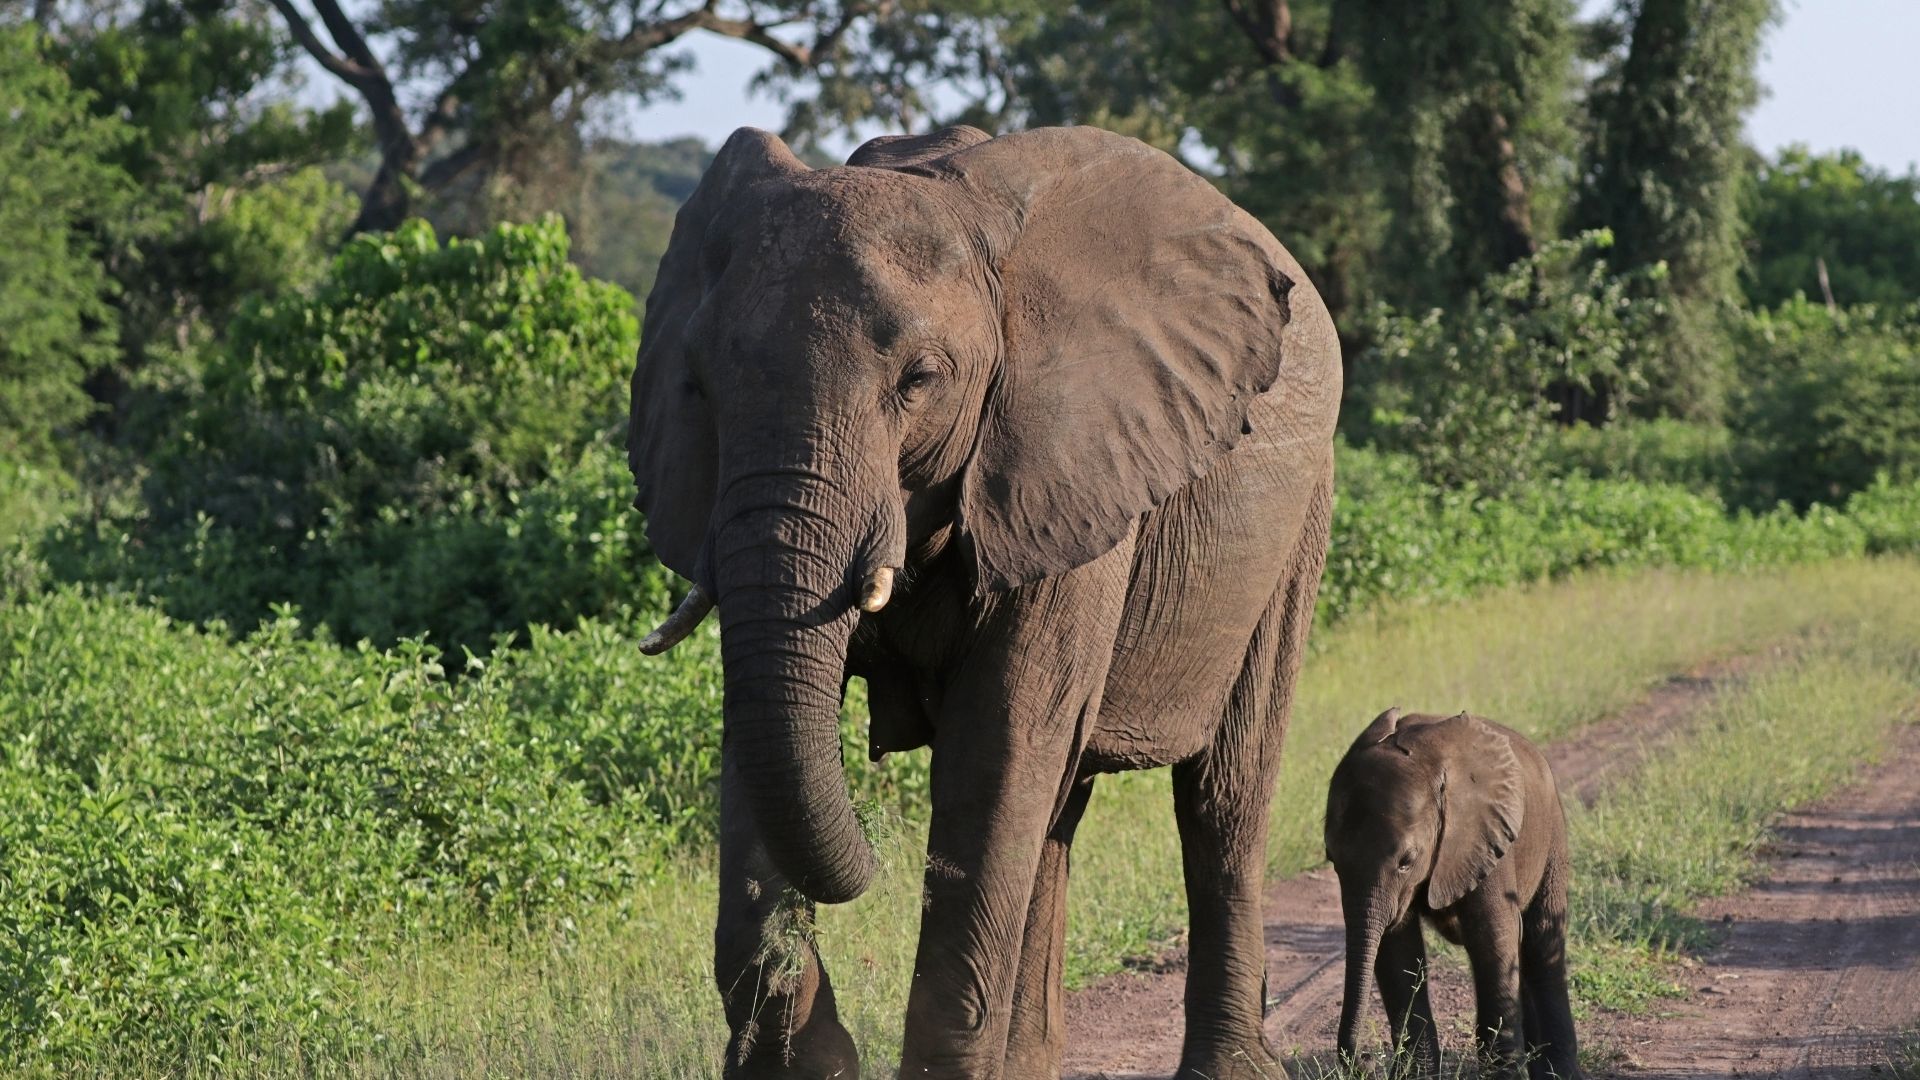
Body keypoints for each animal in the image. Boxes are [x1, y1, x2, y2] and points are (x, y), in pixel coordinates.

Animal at [625, 122, 1341, 1078]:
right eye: (698, 386)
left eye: (919, 378)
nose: (873, 855)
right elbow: (759, 739)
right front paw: (816, 1060)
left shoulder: (1069, 467)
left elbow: (993, 752)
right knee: (1058, 813)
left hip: (1299, 519)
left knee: (1221, 799)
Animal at [1324, 708, 1584, 1080]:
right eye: (1331, 858)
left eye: (1406, 861)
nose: (1365, 1059)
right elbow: (1397, 951)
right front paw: (1416, 1076)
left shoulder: (1484, 837)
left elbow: (1493, 939)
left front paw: (1503, 1076)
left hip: (1552, 835)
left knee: (1542, 940)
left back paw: (1557, 1072)